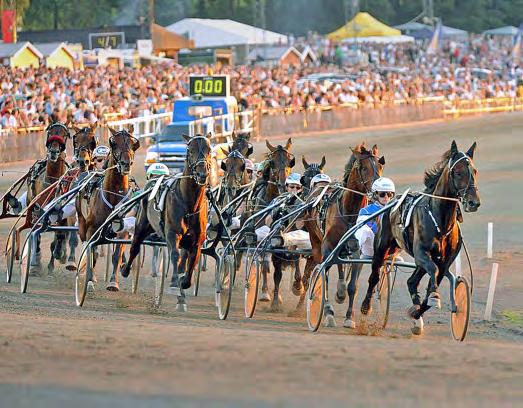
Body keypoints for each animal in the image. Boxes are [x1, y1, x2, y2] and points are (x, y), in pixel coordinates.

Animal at [76, 126, 140, 290]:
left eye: (133, 144)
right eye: (114, 143)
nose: (126, 163)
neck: (113, 195)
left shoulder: (122, 231)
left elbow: (117, 255)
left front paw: (113, 282)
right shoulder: (92, 228)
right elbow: (91, 251)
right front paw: (90, 280)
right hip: (82, 222)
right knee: (87, 245)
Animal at [122, 134, 212, 312]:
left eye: (209, 149)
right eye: (189, 150)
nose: (202, 173)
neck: (189, 204)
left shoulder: (196, 241)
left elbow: (189, 264)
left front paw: (182, 288)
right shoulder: (172, 234)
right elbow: (175, 256)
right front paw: (176, 287)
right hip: (141, 225)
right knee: (135, 247)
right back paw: (125, 270)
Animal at [302, 143, 384, 326]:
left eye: (380, 165)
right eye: (363, 167)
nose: (378, 192)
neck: (349, 212)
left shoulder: (357, 251)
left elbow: (353, 285)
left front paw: (349, 317)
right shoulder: (327, 248)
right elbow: (323, 276)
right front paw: (328, 312)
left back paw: (341, 291)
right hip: (315, 242)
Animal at [362, 140, 482, 334]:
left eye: (475, 171)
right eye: (458, 172)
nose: (474, 202)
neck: (440, 218)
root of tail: (390, 204)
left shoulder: (445, 260)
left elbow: (435, 278)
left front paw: (418, 311)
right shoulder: (421, 253)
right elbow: (433, 272)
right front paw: (432, 297)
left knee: (411, 281)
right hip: (381, 247)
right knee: (374, 276)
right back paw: (365, 306)